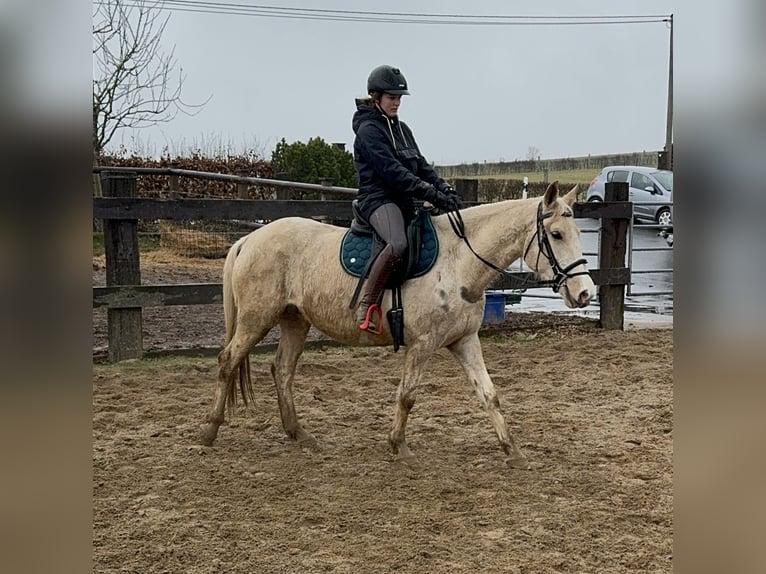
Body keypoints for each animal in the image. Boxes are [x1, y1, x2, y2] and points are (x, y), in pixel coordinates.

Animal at [201, 182, 596, 470]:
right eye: (556, 234)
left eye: (577, 232)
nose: (585, 293)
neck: (459, 260)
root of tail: (249, 239)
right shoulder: (422, 344)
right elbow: (407, 396)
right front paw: (400, 447)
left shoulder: (466, 341)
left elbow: (489, 395)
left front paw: (512, 451)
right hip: (256, 319)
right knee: (227, 362)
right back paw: (209, 431)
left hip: (294, 321)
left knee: (282, 370)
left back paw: (299, 434)